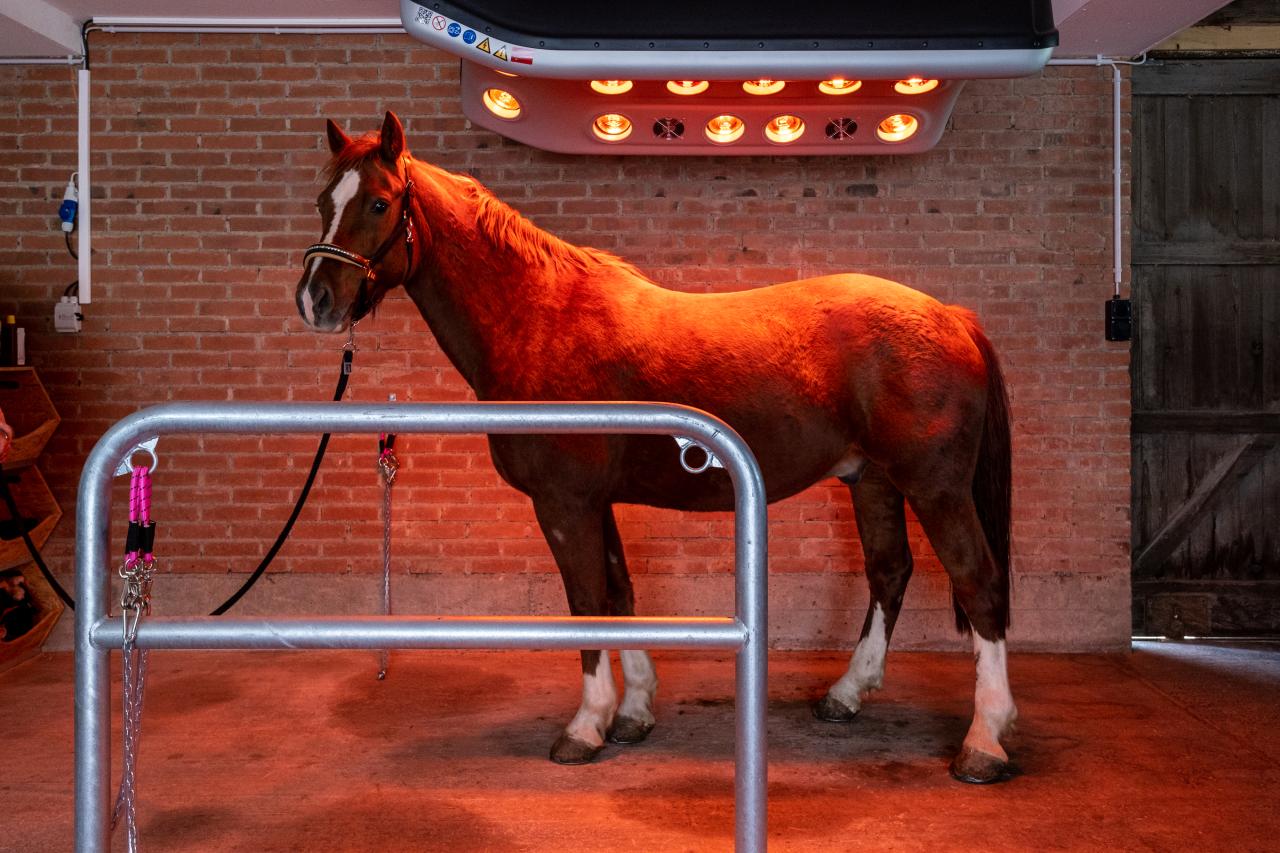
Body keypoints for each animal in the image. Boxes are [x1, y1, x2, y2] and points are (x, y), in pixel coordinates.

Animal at [294, 111, 1018, 784]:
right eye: (324, 198)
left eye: (379, 202)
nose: (315, 300)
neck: (539, 319)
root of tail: (954, 318)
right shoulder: (595, 501)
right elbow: (620, 592)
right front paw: (634, 709)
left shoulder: (564, 502)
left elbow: (588, 601)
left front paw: (585, 726)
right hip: (872, 480)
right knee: (889, 572)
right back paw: (846, 694)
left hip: (935, 487)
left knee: (977, 582)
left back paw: (984, 740)